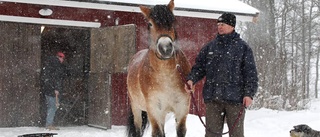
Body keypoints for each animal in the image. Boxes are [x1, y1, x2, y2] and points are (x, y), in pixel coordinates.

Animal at [127, 0, 192, 136]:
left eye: (173, 21)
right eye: (150, 24)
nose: (165, 48)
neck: (165, 75)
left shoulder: (182, 108)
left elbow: (180, 130)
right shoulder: (154, 110)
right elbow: (157, 133)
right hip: (136, 108)